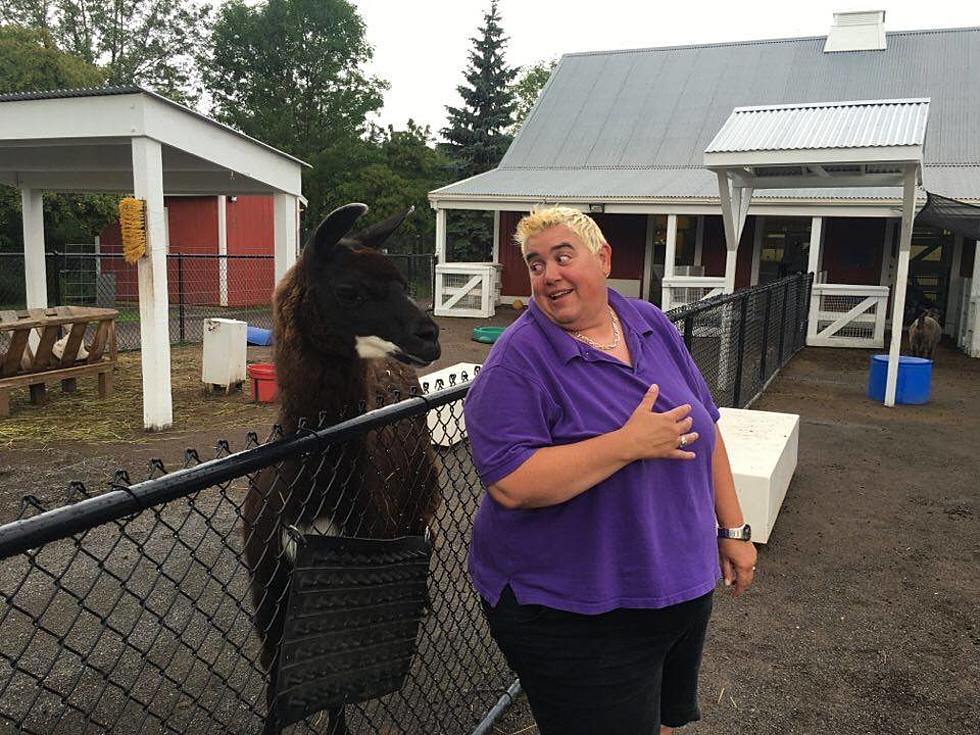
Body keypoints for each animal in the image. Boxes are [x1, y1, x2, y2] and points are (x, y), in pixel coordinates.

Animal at [243, 203, 442, 735]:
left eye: (402, 282)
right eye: (350, 290)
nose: (429, 336)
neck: (316, 504)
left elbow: (337, 698)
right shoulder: (268, 593)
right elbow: (276, 691)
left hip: (419, 495)